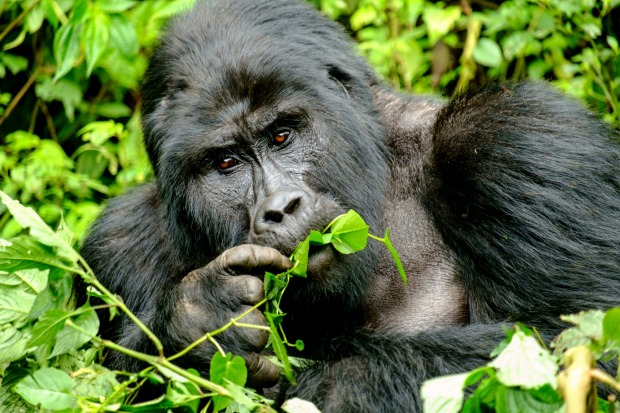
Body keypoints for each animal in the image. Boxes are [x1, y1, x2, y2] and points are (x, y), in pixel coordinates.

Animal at [80, 0, 620, 410]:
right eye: (226, 163)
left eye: (282, 135)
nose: (279, 208)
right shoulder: (117, 244)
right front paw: (196, 324)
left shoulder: (516, 138)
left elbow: (572, 342)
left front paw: (333, 385)